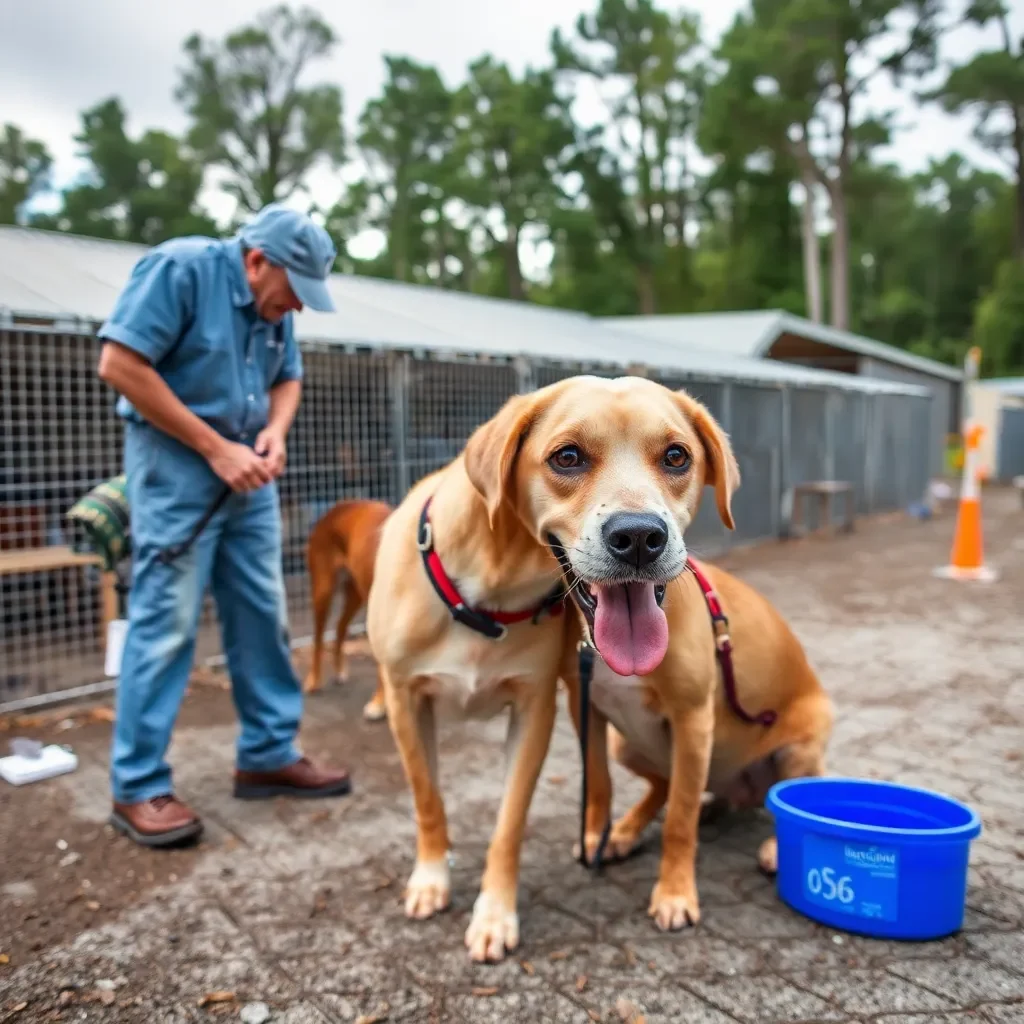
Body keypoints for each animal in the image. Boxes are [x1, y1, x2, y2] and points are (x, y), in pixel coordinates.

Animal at [303, 495, 391, 720]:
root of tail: (340, 504)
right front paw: (379, 704)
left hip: (355, 595)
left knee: (340, 627)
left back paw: (339, 669)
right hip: (323, 590)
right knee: (318, 637)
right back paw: (314, 681)